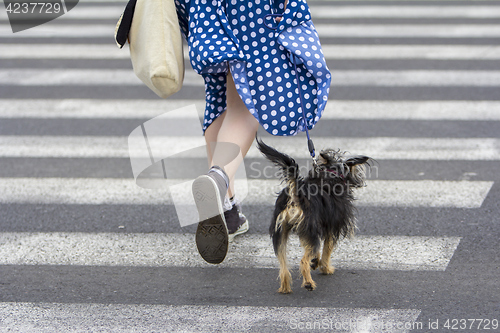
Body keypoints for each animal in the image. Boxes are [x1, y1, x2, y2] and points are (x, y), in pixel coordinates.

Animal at [258, 137, 372, 294]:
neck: (330, 177)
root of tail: (296, 193)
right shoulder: (331, 228)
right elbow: (327, 249)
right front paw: (325, 267)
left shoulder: (312, 229)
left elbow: (315, 250)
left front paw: (315, 261)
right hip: (308, 230)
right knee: (303, 260)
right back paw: (308, 283)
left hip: (281, 231)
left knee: (283, 264)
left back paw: (285, 287)